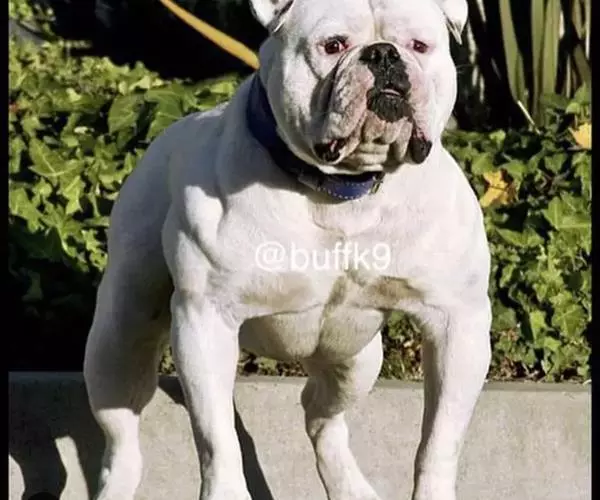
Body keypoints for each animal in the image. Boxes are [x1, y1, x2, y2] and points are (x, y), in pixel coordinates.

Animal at [83, 0, 492, 498]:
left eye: (419, 45)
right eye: (333, 45)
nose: (384, 54)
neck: (342, 191)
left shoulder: (458, 325)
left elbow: (439, 441)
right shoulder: (205, 321)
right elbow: (216, 439)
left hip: (356, 359)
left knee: (320, 414)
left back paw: (350, 486)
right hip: (120, 337)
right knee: (121, 432)